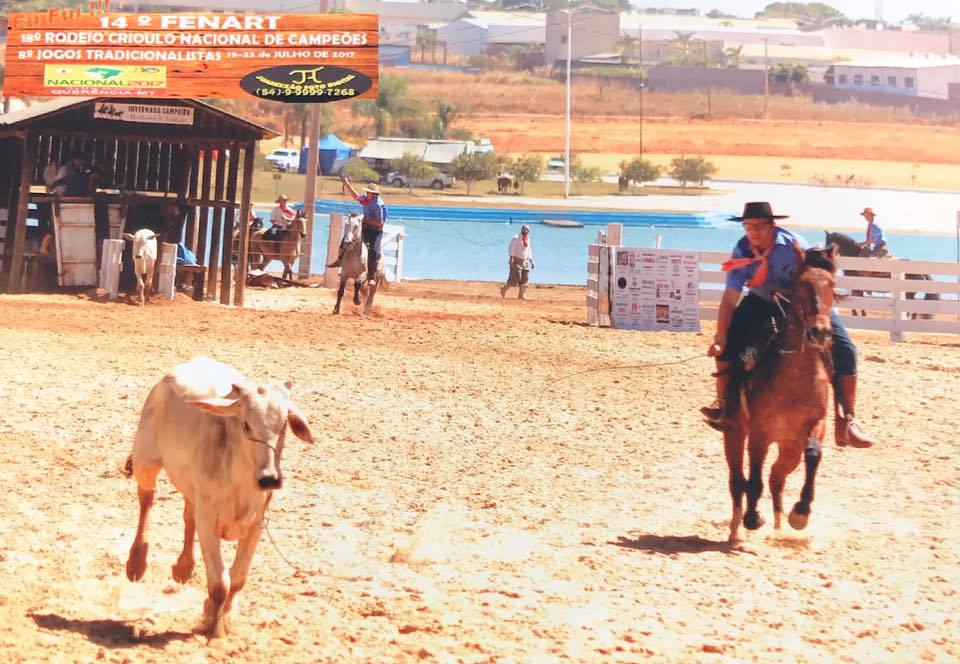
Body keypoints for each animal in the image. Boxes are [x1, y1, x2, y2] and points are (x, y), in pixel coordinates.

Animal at [722, 245, 838, 542]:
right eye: (802, 285)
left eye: (832, 285)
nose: (820, 332)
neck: (795, 379)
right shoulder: (759, 433)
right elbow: (753, 479)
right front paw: (753, 518)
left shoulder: (815, 425)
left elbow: (814, 455)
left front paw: (800, 512)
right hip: (734, 434)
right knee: (737, 479)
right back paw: (737, 526)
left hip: (789, 448)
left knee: (777, 477)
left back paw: (778, 523)